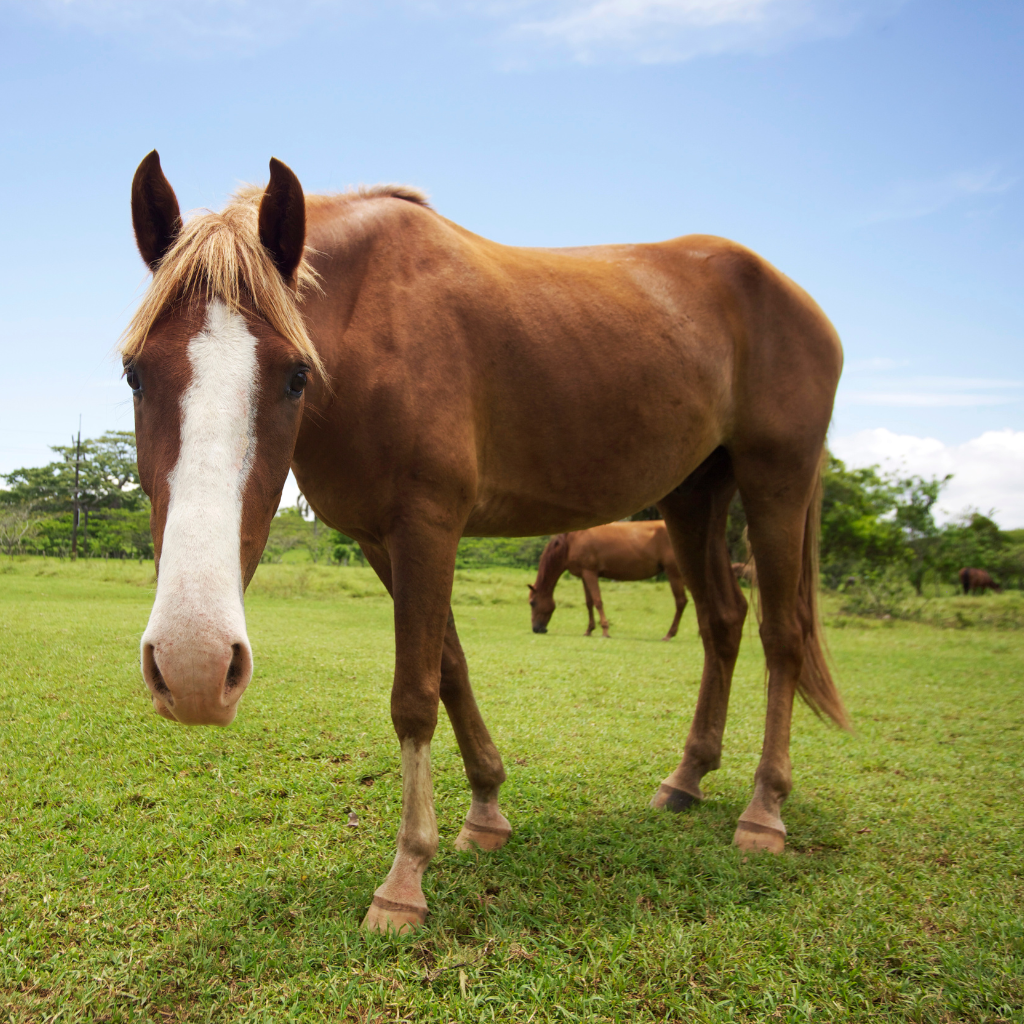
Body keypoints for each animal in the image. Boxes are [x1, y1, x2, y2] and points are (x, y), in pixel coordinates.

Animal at [528, 520, 688, 638]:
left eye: (532, 603)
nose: (536, 629)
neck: (571, 542)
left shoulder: (590, 573)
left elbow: (598, 601)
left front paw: (605, 631)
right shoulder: (584, 575)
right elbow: (589, 603)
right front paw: (589, 630)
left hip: (673, 573)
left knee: (681, 602)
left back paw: (669, 634)